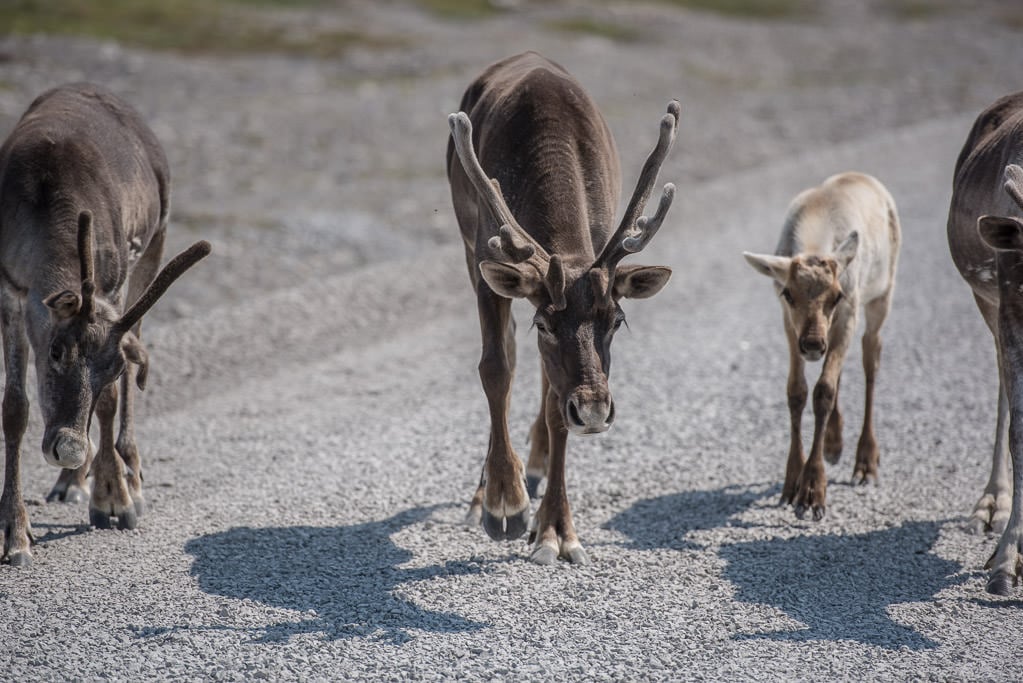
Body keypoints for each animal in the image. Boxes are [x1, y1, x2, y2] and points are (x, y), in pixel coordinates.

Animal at [0, 83, 209, 564]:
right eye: (55, 350)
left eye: (109, 368)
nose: (68, 449)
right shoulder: (10, 289)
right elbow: (15, 409)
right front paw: (15, 532)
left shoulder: (113, 288)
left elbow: (111, 398)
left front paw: (113, 495)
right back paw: (72, 482)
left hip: (156, 240)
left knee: (138, 348)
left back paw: (129, 470)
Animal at [448, 53, 679, 564]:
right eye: (545, 323)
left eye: (617, 320)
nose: (593, 410)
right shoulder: (486, 262)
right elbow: (495, 369)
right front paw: (505, 503)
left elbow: (557, 407)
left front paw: (555, 528)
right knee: (510, 356)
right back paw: (491, 491)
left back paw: (533, 463)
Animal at [744, 173, 904, 519]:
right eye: (788, 293)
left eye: (836, 295)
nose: (813, 343)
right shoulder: (788, 323)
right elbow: (797, 391)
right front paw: (791, 484)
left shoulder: (849, 311)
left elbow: (824, 391)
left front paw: (812, 491)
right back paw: (833, 443)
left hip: (881, 295)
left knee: (871, 359)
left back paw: (866, 462)